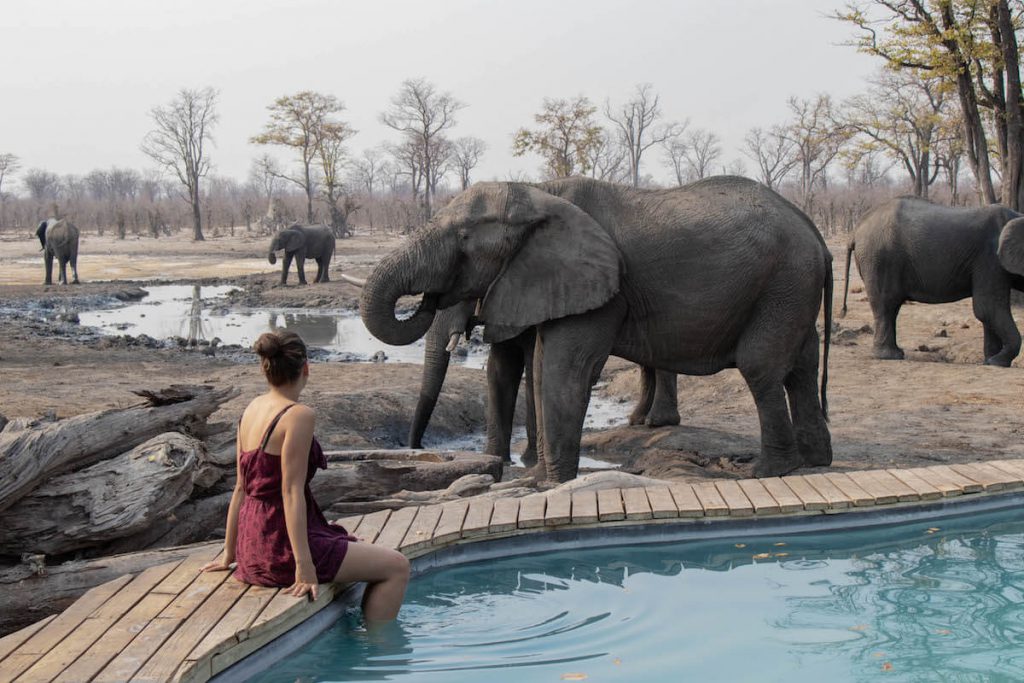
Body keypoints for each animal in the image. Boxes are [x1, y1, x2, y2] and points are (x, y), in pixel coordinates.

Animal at [407, 301, 679, 466]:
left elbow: (531, 367)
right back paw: (637, 420)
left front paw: (528, 460)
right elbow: (499, 369)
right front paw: (496, 459)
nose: (418, 447)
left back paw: (657, 422)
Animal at [839, 197, 1024, 368]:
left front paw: (989, 361)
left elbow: (987, 311)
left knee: (892, 306)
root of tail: (856, 229)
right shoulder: (990, 258)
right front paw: (998, 362)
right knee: (887, 304)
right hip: (880, 258)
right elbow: (987, 308)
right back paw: (889, 356)